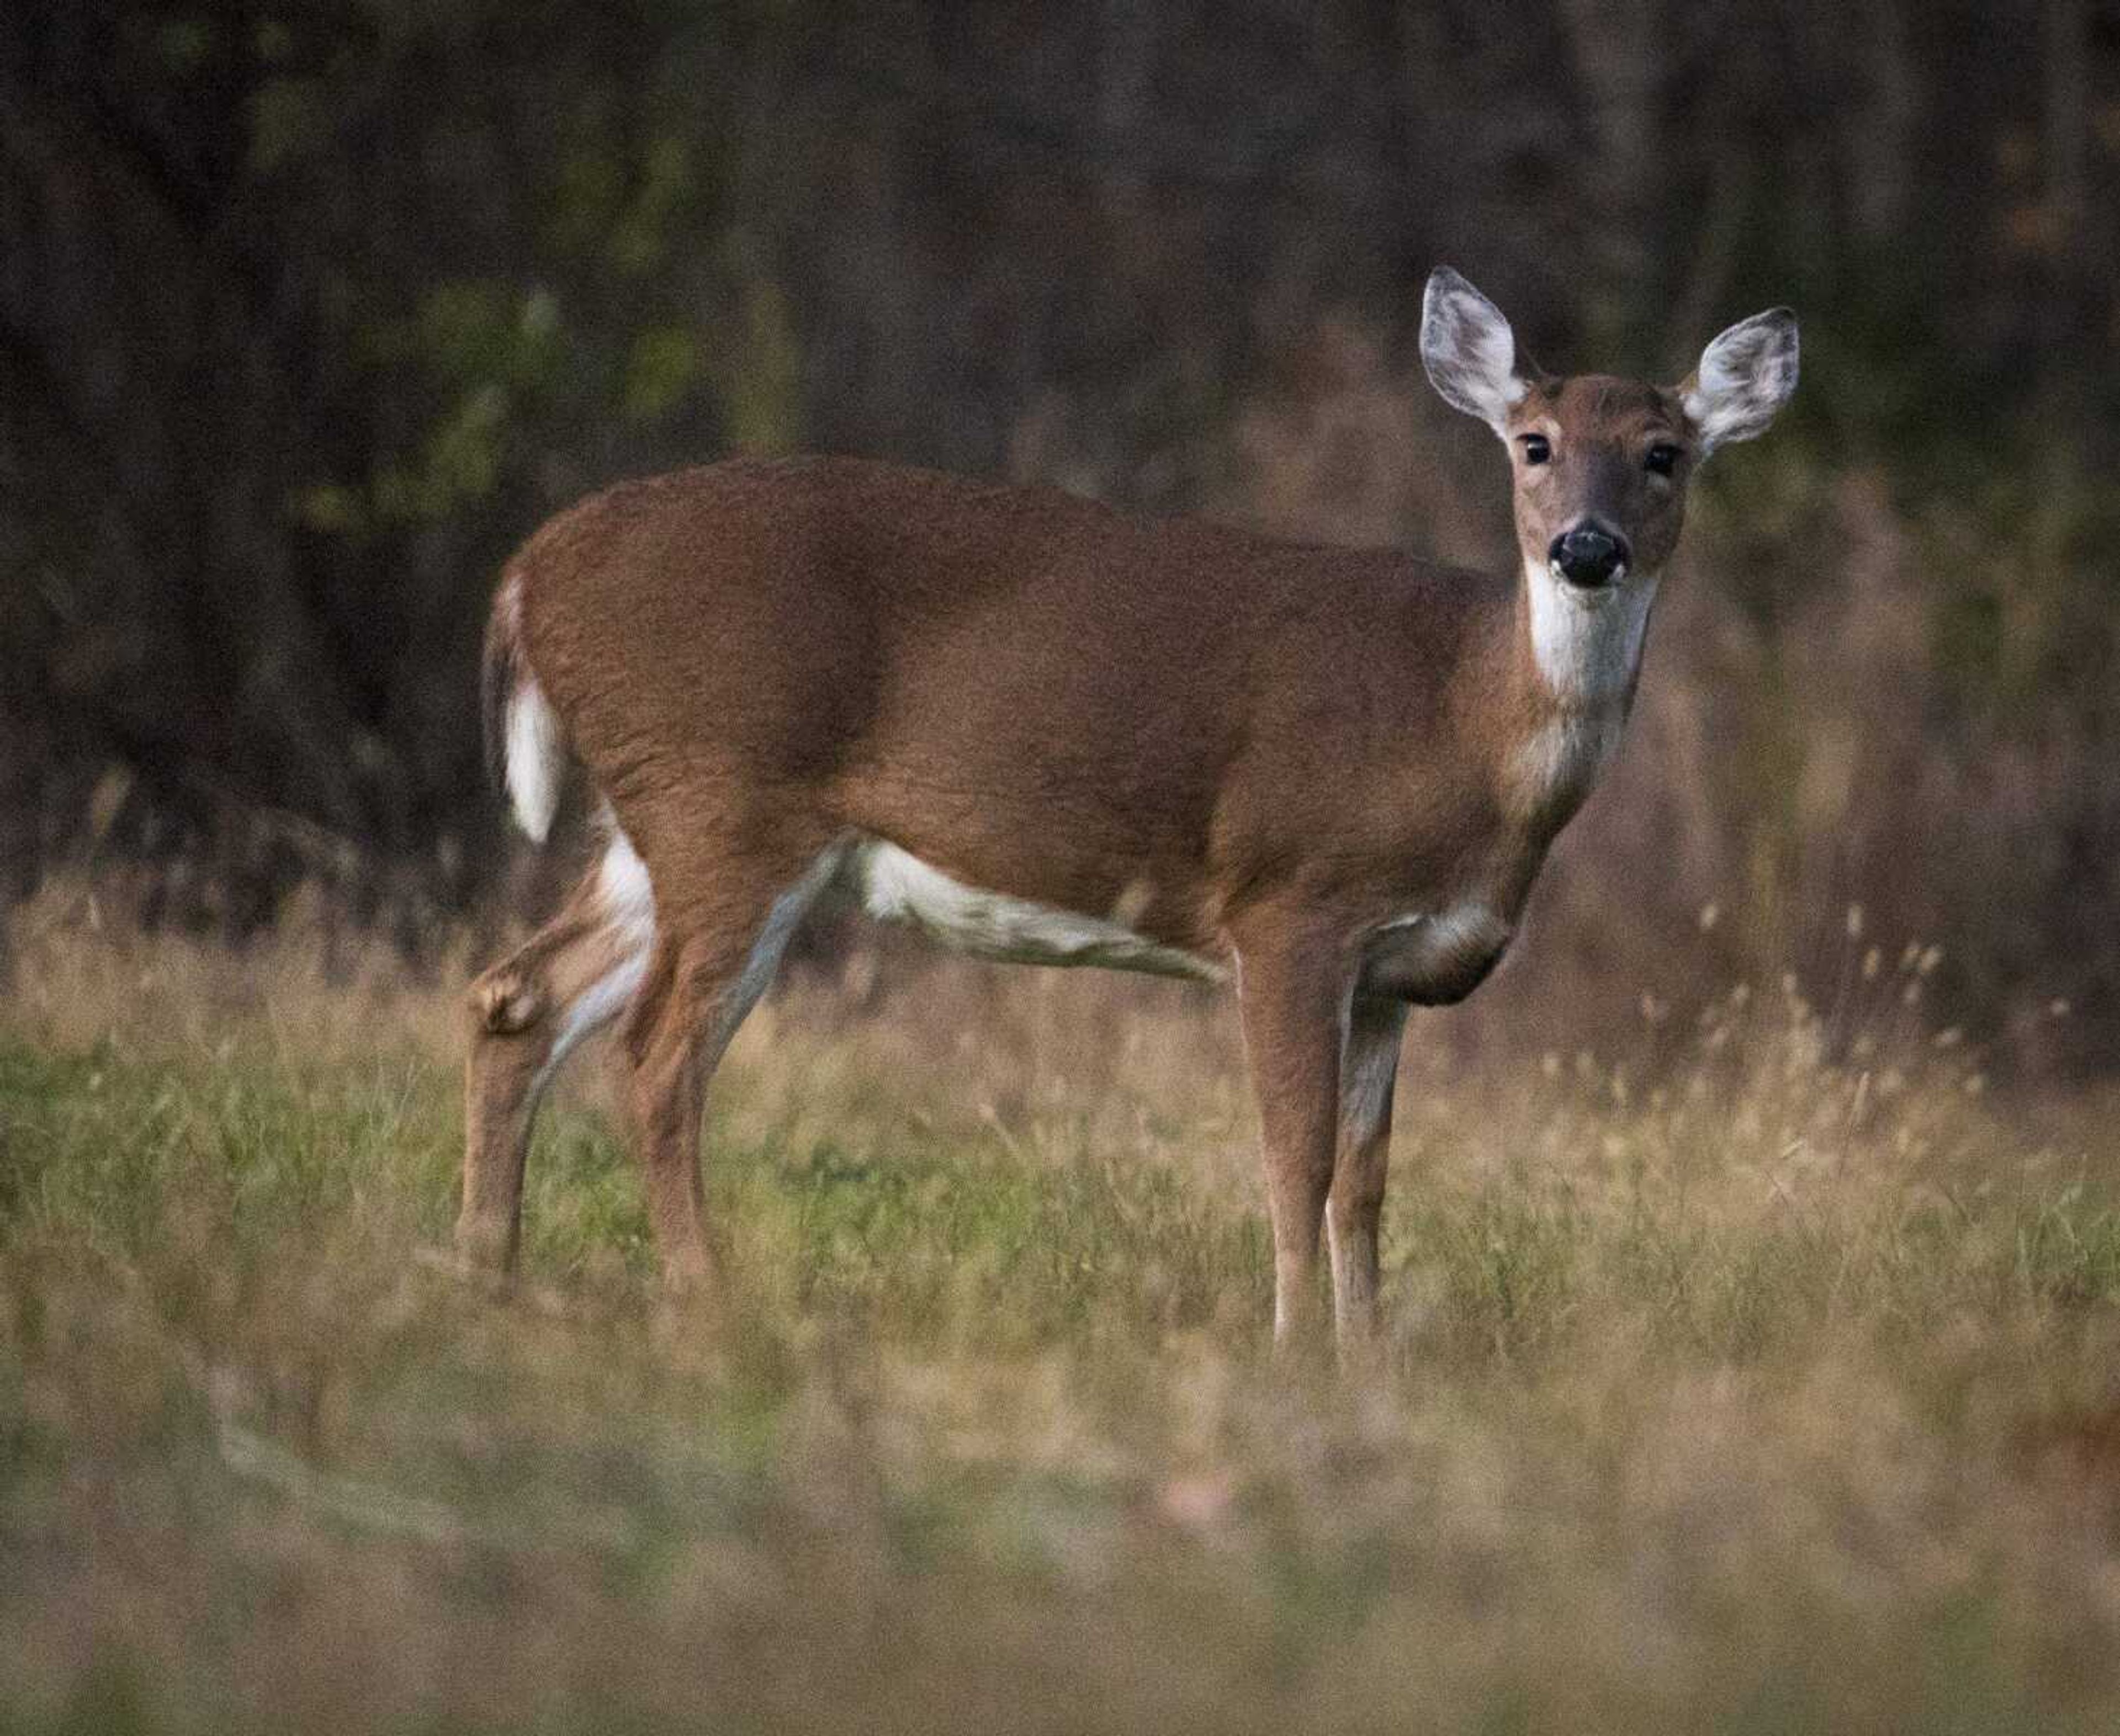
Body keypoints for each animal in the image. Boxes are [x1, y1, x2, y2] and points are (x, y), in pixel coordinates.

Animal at [455, 271, 1798, 1348]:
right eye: (1532, 442)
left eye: (1665, 452)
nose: (1586, 547)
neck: (1464, 722)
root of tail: (525, 574)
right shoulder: (1290, 902)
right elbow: (1295, 1157)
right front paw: (1295, 1355)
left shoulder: (1394, 973)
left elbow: (1365, 1183)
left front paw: (1373, 1364)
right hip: (726, 798)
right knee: (657, 1056)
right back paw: (706, 1304)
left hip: (653, 826)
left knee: (516, 999)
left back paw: (489, 1279)